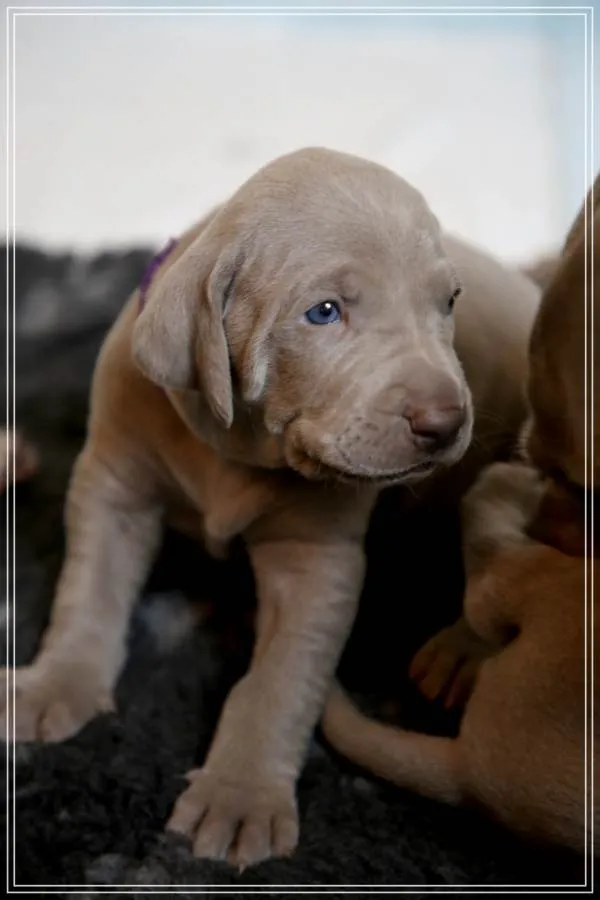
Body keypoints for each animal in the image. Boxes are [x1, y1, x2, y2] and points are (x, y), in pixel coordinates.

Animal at [1, 148, 539, 867]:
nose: (446, 421)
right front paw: (55, 684)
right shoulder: (114, 483)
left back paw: (457, 652)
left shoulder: (314, 560)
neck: (234, 448)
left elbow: (278, 682)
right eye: (324, 312)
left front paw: (240, 796)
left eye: (447, 302)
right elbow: (89, 593)